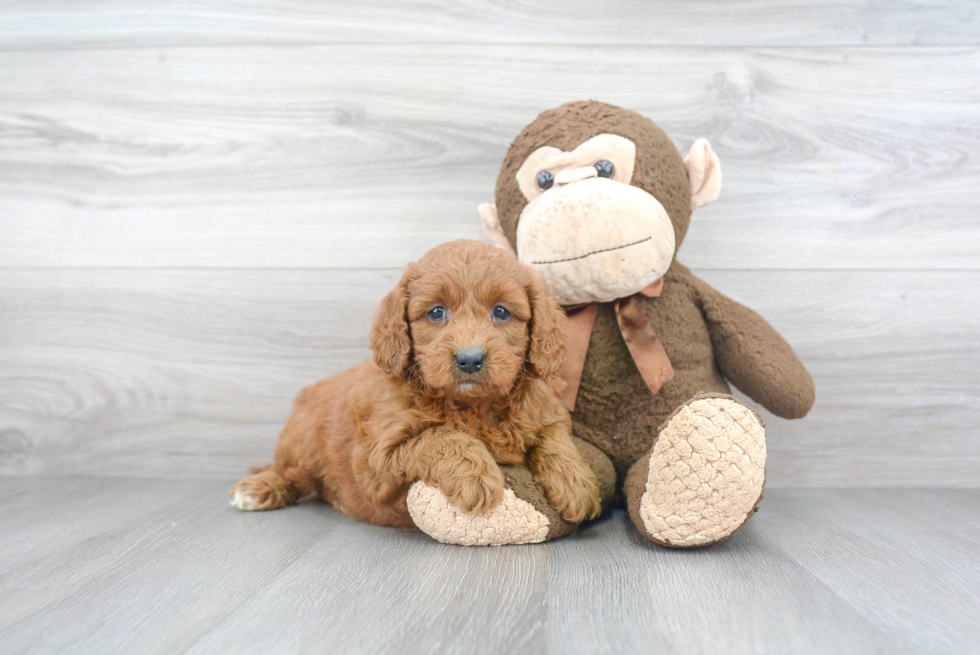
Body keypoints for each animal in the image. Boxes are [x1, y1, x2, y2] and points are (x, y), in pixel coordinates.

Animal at [230, 238, 600, 532]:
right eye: (436, 312)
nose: (469, 359)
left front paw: (576, 484)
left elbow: (555, 438)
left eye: (501, 312)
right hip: (303, 439)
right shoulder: (379, 460)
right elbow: (440, 436)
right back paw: (256, 490)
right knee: (289, 472)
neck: (474, 406)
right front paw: (477, 478)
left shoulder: (545, 411)